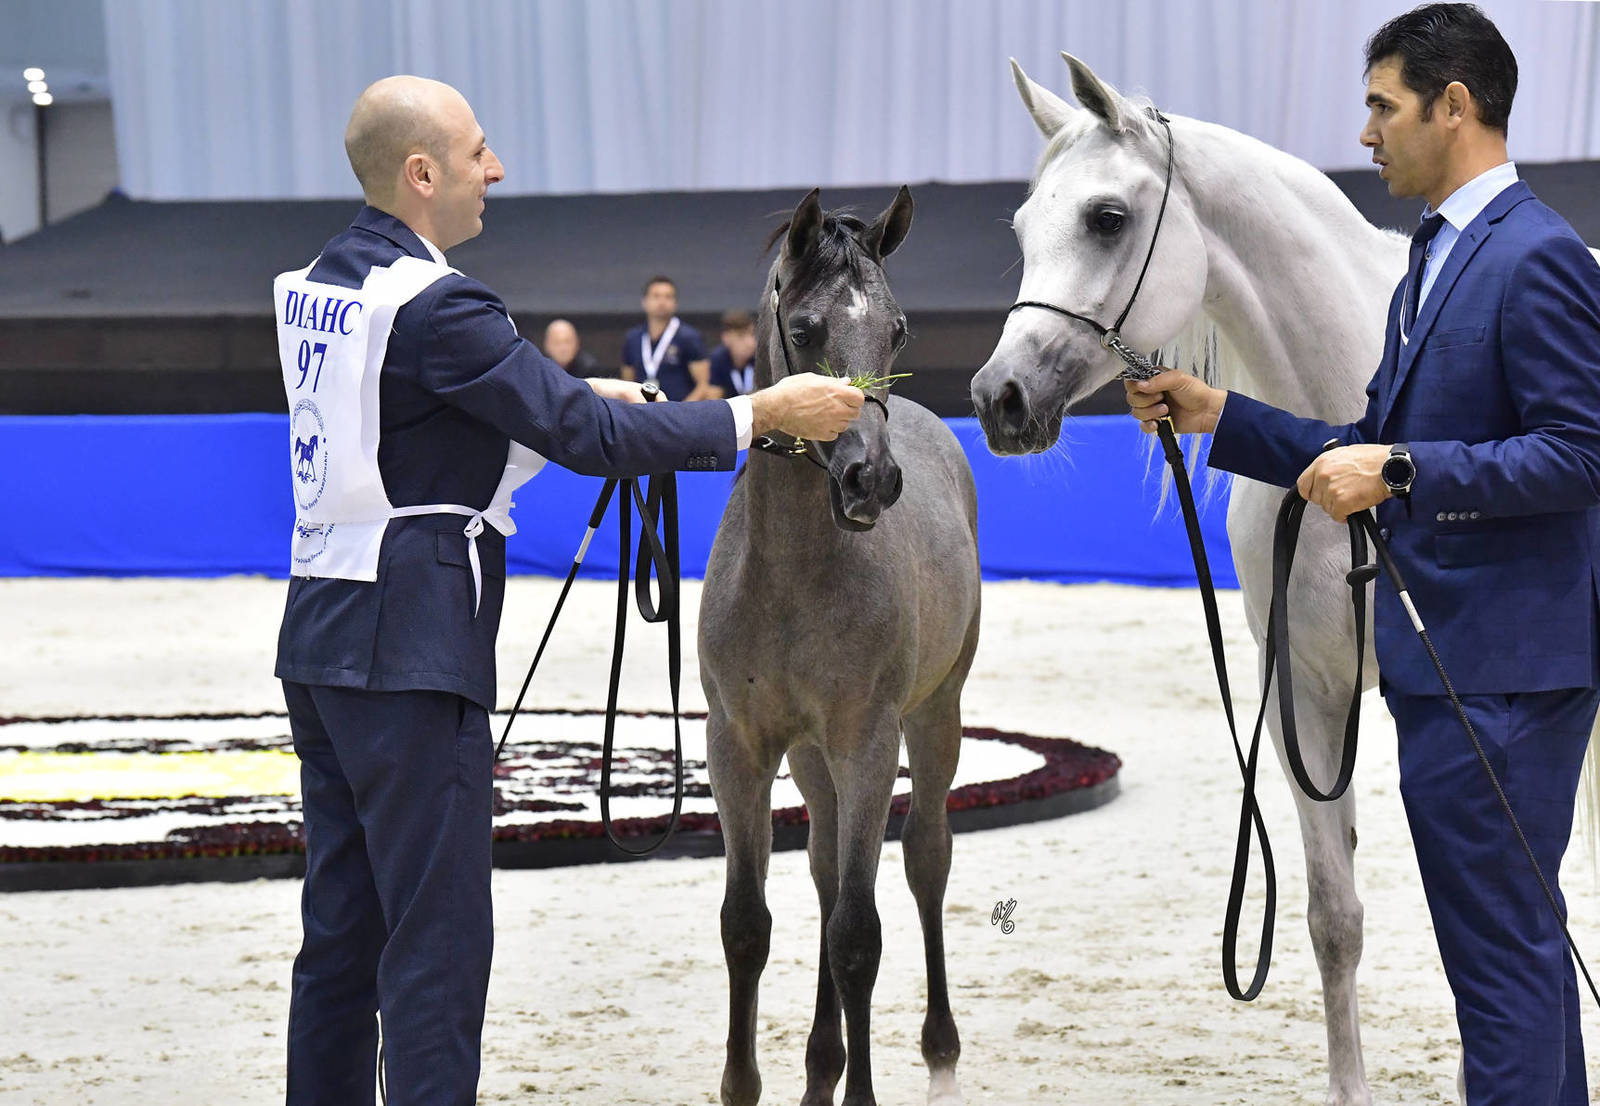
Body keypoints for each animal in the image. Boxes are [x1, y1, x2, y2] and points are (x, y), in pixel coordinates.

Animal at [699, 187, 983, 1106]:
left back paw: (940, 1053)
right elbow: (748, 924)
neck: (790, 571)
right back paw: (820, 1066)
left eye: (898, 330)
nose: (871, 480)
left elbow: (859, 933)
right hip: (809, 757)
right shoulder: (740, 747)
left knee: (924, 859)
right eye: (807, 325)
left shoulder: (868, 742)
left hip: (934, 719)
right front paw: (745, 1083)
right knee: (826, 870)